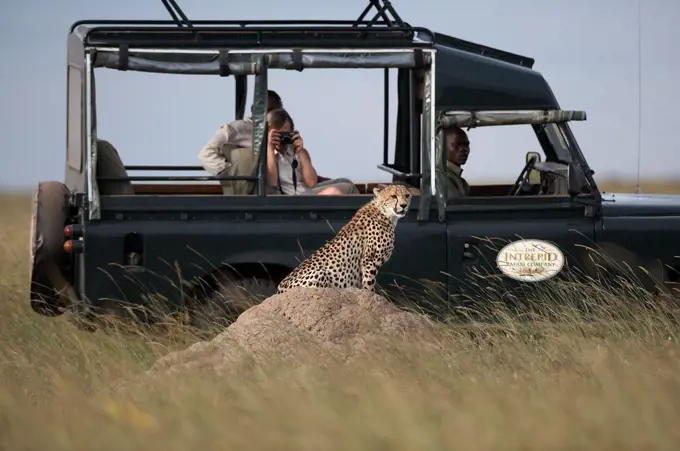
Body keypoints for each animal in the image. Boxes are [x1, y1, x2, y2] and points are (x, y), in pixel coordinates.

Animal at [278, 185, 414, 294]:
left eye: (407, 195)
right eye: (393, 196)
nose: (404, 205)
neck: (386, 214)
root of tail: (279, 290)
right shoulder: (369, 260)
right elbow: (368, 285)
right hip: (319, 273)